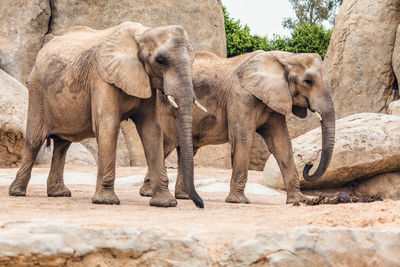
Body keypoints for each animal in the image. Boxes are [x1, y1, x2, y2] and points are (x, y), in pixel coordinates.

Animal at [8, 21, 206, 209]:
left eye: (192, 60)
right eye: (160, 60)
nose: (200, 204)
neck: (143, 33)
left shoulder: (144, 80)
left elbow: (152, 129)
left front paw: (166, 203)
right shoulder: (101, 77)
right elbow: (108, 125)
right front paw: (106, 201)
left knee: (62, 145)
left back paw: (59, 193)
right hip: (37, 91)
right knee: (34, 141)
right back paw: (17, 192)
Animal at [139, 50, 336, 205]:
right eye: (308, 81)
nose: (309, 165)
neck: (283, 58)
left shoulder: (274, 100)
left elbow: (281, 144)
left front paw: (300, 201)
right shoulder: (241, 97)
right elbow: (243, 139)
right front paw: (238, 201)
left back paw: (183, 196)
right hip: (165, 105)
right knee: (166, 142)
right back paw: (149, 194)